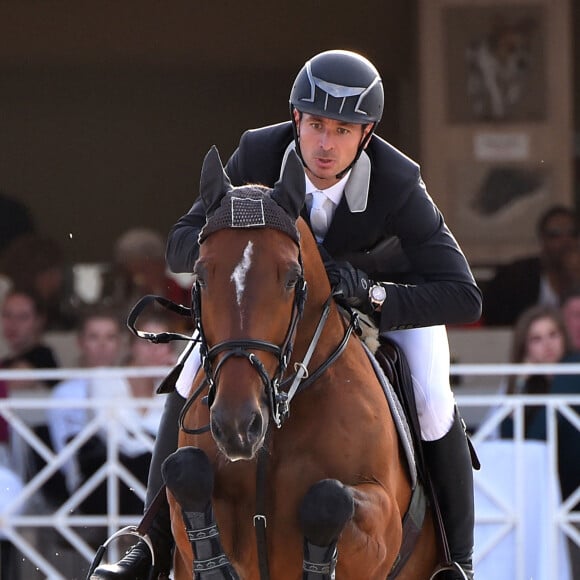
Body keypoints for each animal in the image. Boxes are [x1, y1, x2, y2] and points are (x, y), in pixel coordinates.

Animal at [161, 147, 438, 576]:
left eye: (291, 278)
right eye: (201, 277)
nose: (238, 426)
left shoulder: (383, 526)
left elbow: (329, 500)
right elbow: (185, 471)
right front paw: (216, 567)